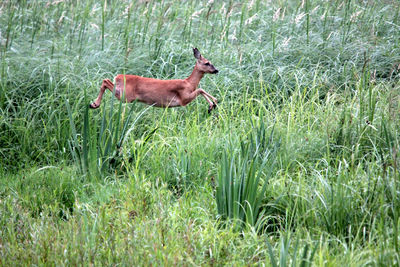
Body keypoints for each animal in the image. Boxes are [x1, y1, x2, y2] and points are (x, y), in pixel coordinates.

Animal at [90, 48, 219, 113]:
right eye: (207, 63)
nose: (216, 70)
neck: (189, 83)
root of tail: (118, 76)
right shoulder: (183, 99)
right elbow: (201, 89)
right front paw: (213, 103)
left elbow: (201, 89)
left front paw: (212, 105)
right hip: (126, 96)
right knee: (106, 81)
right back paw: (94, 104)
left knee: (106, 80)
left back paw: (93, 104)